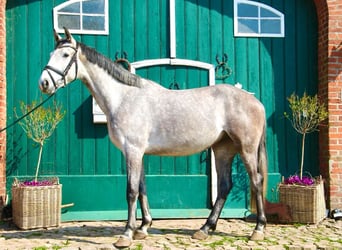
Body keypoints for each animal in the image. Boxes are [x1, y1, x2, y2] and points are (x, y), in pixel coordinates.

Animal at [39, 27, 268, 248]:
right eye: (50, 54)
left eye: (65, 54)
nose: (44, 83)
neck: (123, 98)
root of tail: (255, 102)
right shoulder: (137, 153)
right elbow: (142, 189)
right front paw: (143, 228)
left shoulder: (133, 150)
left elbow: (131, 191)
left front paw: (126, 234)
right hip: (223, 150)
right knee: (224, 186)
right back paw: (204, 229)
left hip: (246, 149)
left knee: (256, 181)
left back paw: (258, 229)